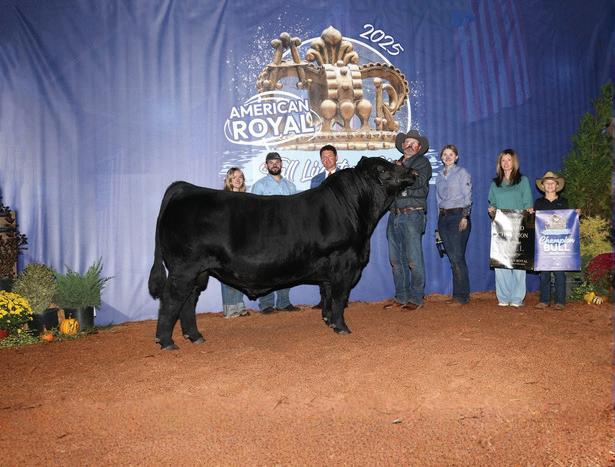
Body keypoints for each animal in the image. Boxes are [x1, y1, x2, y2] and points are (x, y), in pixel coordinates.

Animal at [148, 156, 416, 349]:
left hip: (198, 272)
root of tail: (185, 188)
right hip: (184, 268)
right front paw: (342, 328)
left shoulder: (330, 269)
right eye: (382, 169)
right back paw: (167, 341)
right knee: (172, 299)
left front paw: (329, 322)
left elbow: (327, 294)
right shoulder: (345, 262)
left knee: (188, 301)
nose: (410, 172)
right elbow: (340, 297)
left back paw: (195, 336)